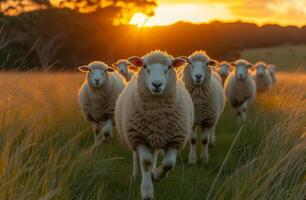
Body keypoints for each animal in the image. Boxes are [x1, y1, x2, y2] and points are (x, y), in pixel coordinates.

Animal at [115, 50, 194, 200]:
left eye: (169, 66)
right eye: (145, 66)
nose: (157, 84)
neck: (157, 116)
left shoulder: (175, 140)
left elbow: (169, 164)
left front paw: (156, 175)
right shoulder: (139, 137)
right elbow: (146, 162)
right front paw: (147, 191)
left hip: (154, 139)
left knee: (155, 156)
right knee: (137, 157)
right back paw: (136, 175)